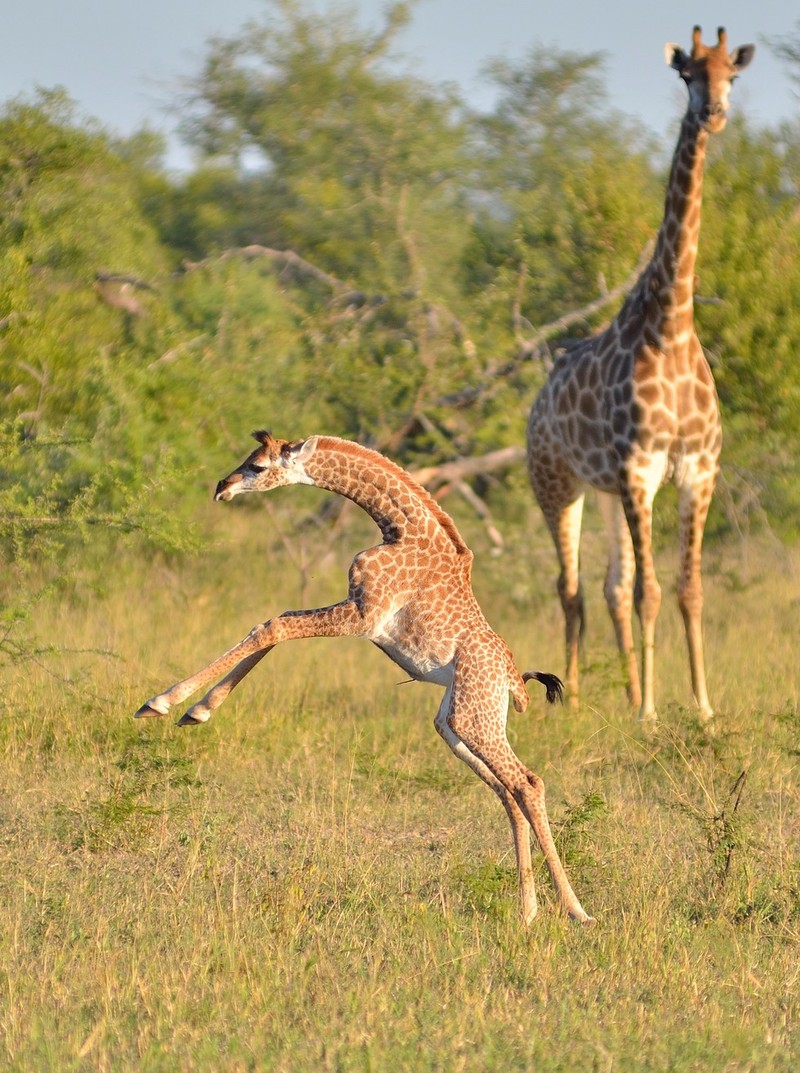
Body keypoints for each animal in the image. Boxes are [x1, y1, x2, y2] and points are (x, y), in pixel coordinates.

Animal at [132, 431, 591, 927]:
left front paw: (164, 703)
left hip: (474, 719)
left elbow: (274, 626)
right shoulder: (355, 609)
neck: (400, 528)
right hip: (453, 724)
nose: (222, 487)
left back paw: (575, 909)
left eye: (258, 465)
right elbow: (274, 623)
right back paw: (528, 911)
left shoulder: (364, 615)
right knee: (508, 793)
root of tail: (515, 685)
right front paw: (195, 710)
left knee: (528, 783)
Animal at [527, 25, 750, 721]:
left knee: (611, 586)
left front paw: (700, 707)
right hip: (558, 484)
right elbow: (654, 590)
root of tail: (537, 400)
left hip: (605, 494)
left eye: (731, 73)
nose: (714, 112)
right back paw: (570, 699)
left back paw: (623, 691)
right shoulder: (639, 470)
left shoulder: (695, 471)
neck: (672, 326)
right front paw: (652, 713)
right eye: (686, 75)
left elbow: (687, 590)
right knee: (570, 587)